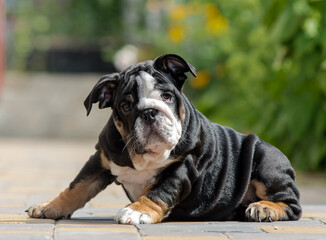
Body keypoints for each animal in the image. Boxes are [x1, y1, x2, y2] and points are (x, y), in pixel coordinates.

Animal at [26, 54, 302, 223]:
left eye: (167, 96)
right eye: (125, 105)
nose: (149, 111)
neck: (145, 156)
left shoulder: (182, 166)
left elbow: (158, 191)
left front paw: (136, 211)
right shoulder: (100, 159)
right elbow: (77, 187)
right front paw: (49, 206)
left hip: (266, 161)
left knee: (292, 204)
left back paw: (264, 207)